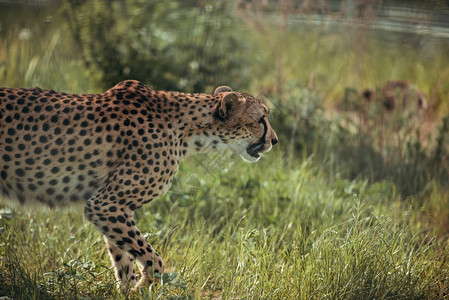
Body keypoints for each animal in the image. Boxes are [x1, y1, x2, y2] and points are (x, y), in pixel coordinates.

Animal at [0, 79, 278, 290]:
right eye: (260, 119)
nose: (274, 140)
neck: (188, 131)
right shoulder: (106, 204)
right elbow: (153, 258)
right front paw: (144, 287)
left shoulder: (113, 207)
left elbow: (123, 257)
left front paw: (128, 290)